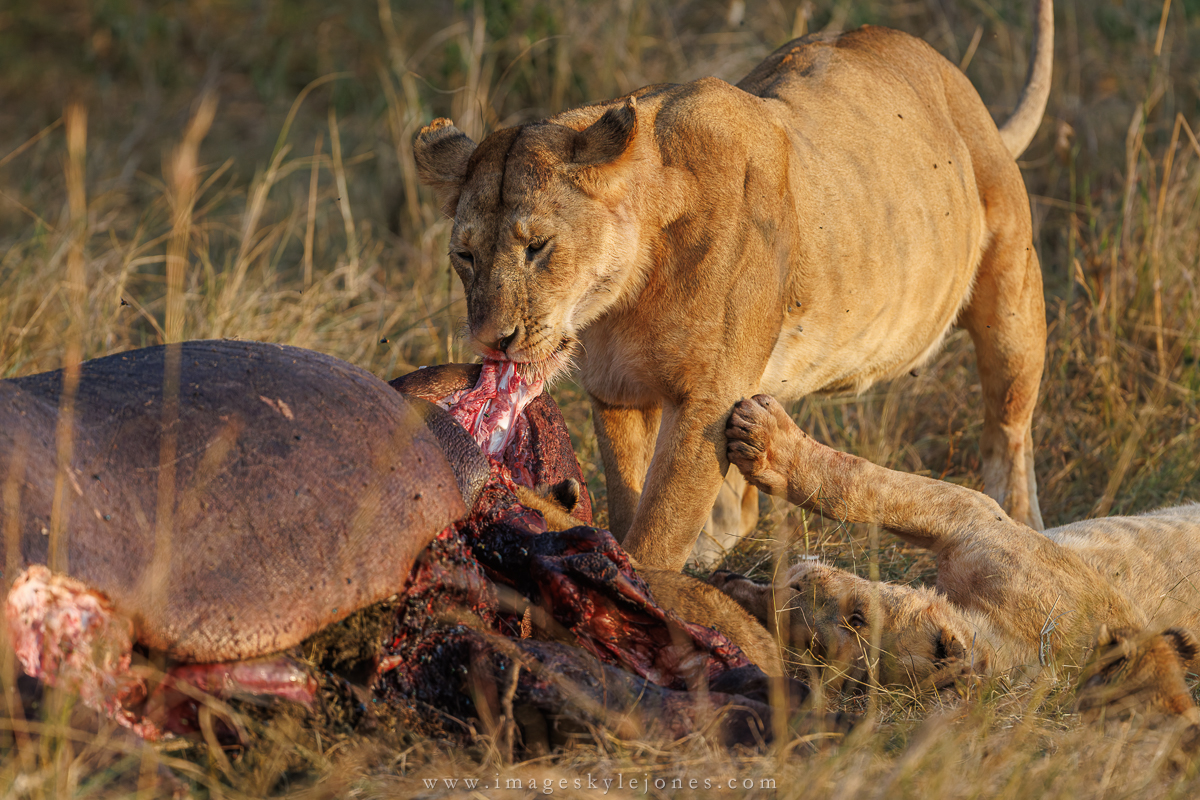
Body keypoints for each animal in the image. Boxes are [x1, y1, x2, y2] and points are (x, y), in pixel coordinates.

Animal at [414, 0, 1054, 571]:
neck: (625, 294)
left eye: (538, 247)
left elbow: (658, 533)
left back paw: (1027, 530)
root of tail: (949, 73)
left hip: (1013, 302)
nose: (491, 341)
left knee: (1009, 431)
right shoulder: (618, 393)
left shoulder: (707, 402)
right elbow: (630, 504)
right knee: (742, 508)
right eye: (465, 256)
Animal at [714, 394, 1200, 720]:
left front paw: (766, 441)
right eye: (805, 644)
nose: (798, 581)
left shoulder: (976, 517)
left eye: (857, 620)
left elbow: (859, 484)